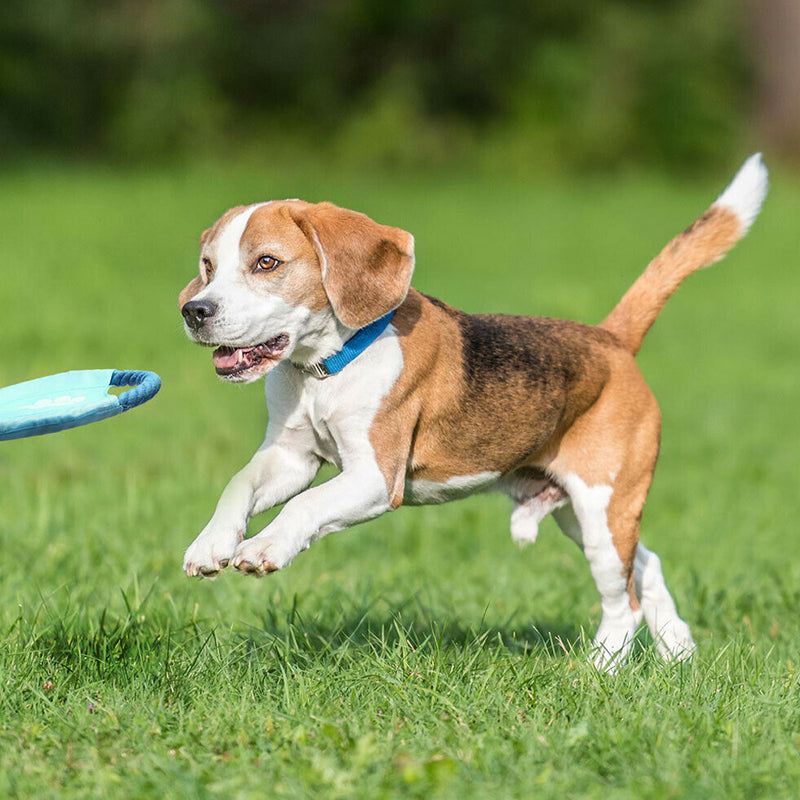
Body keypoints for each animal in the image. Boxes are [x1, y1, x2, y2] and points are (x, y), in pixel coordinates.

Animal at [178, 153, 764, 664]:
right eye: (208, 266)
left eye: (267, 263)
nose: (195, 311)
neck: (324, 368)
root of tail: (610, 339)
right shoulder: (292, 457)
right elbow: (239, 485)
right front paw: (210, 546)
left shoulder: (375, 477)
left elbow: (305, 506)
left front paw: (263, 548)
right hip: (586, 513)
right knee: (645, 565)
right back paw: (679, 652)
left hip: (602, 506)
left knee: (624, 604)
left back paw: (597, 670)